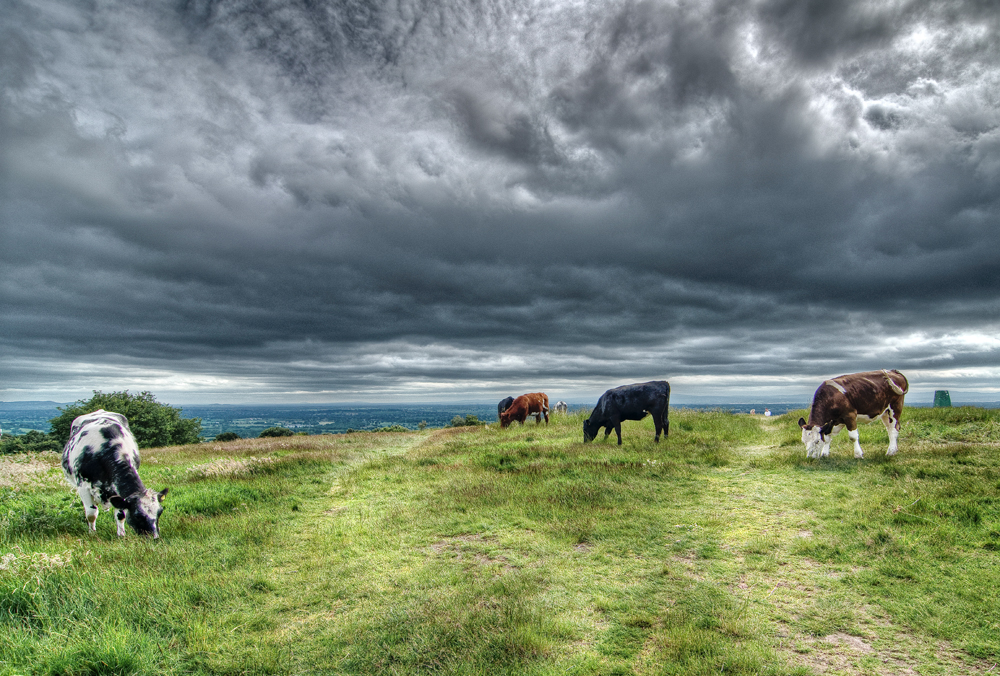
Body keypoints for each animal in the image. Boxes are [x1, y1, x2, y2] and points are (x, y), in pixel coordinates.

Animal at [60, 406, 168, 540]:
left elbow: (120, 514)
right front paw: (92, 534)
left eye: (160, 512)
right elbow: (91, 513)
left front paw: (121, 535)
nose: (154, 537)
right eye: (137, 515)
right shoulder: (83, 486)